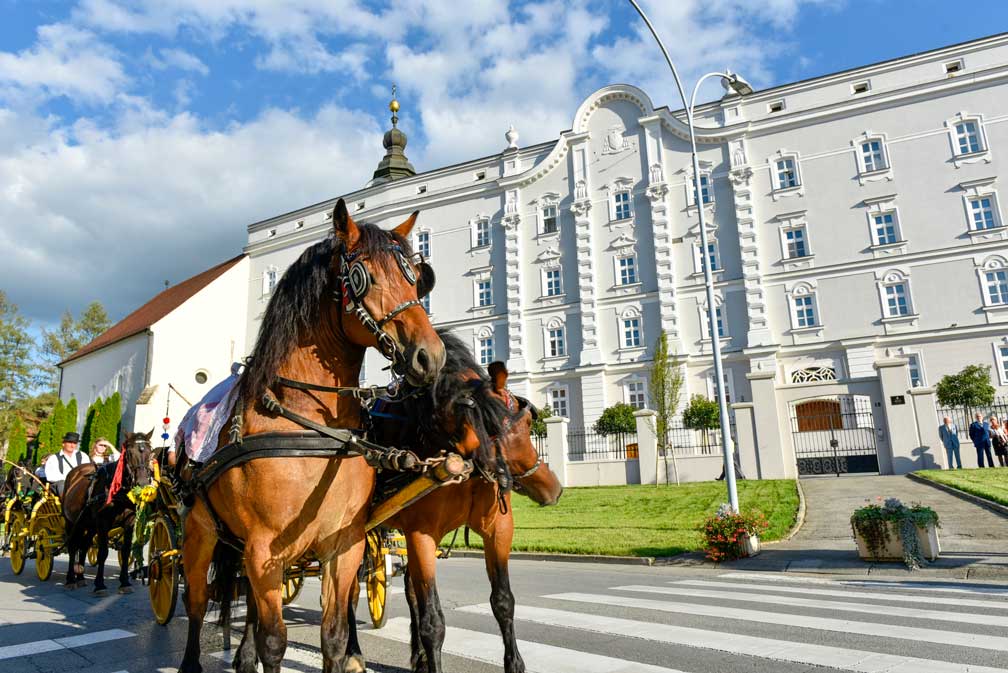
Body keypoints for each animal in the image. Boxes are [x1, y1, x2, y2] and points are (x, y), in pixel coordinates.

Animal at [178, 198, 445, 673]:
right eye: (362, 276)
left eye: (415, 277)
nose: (429, 356)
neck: (307, 422)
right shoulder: (264, 548)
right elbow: (274, 642)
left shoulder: (342, 545)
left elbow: (334, 636)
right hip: (200, 534)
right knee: (195, 603)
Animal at [350, 330, 564, 673]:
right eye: (489, 427)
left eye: (527, 423)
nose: (551, 488)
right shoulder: (421, 535)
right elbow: (433, 622)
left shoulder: (498, 530)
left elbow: (503, 602)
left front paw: (514, 663)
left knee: (409, 588)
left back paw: (419, 657)